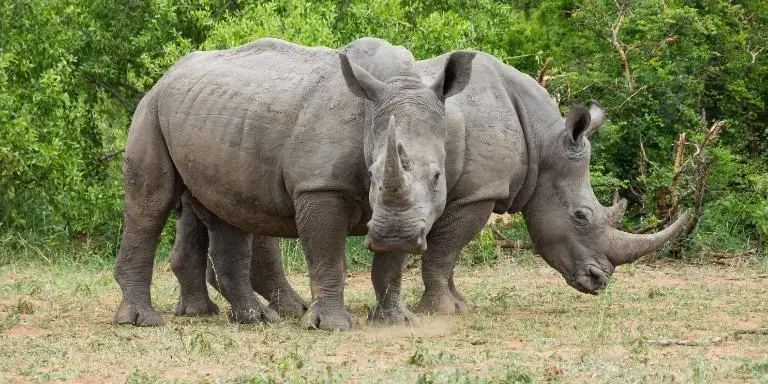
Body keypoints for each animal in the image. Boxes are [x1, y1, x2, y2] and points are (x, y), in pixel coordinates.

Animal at [112, 36, 474, 330]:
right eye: (372, 175)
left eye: (437, 177)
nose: (394, 234)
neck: (397, 83)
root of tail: (166, 75)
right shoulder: (320, 186)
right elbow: (327, 254)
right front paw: (331, 326)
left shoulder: (406, 215)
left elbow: (391, 264)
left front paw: (395, 321)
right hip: (151, 110)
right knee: (151, 204)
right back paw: (143, 321)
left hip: (210, 116)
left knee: (226, 211)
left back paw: (255, 319)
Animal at [168, 48, 688, 328]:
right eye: (581, 217)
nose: (600, 281)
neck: (544, 142)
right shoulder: (477, 192)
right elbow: (445, 250)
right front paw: (447, 309)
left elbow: (441, 253)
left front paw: (451, 305)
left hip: (235, 120)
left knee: (213, 207)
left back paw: (210, 311)